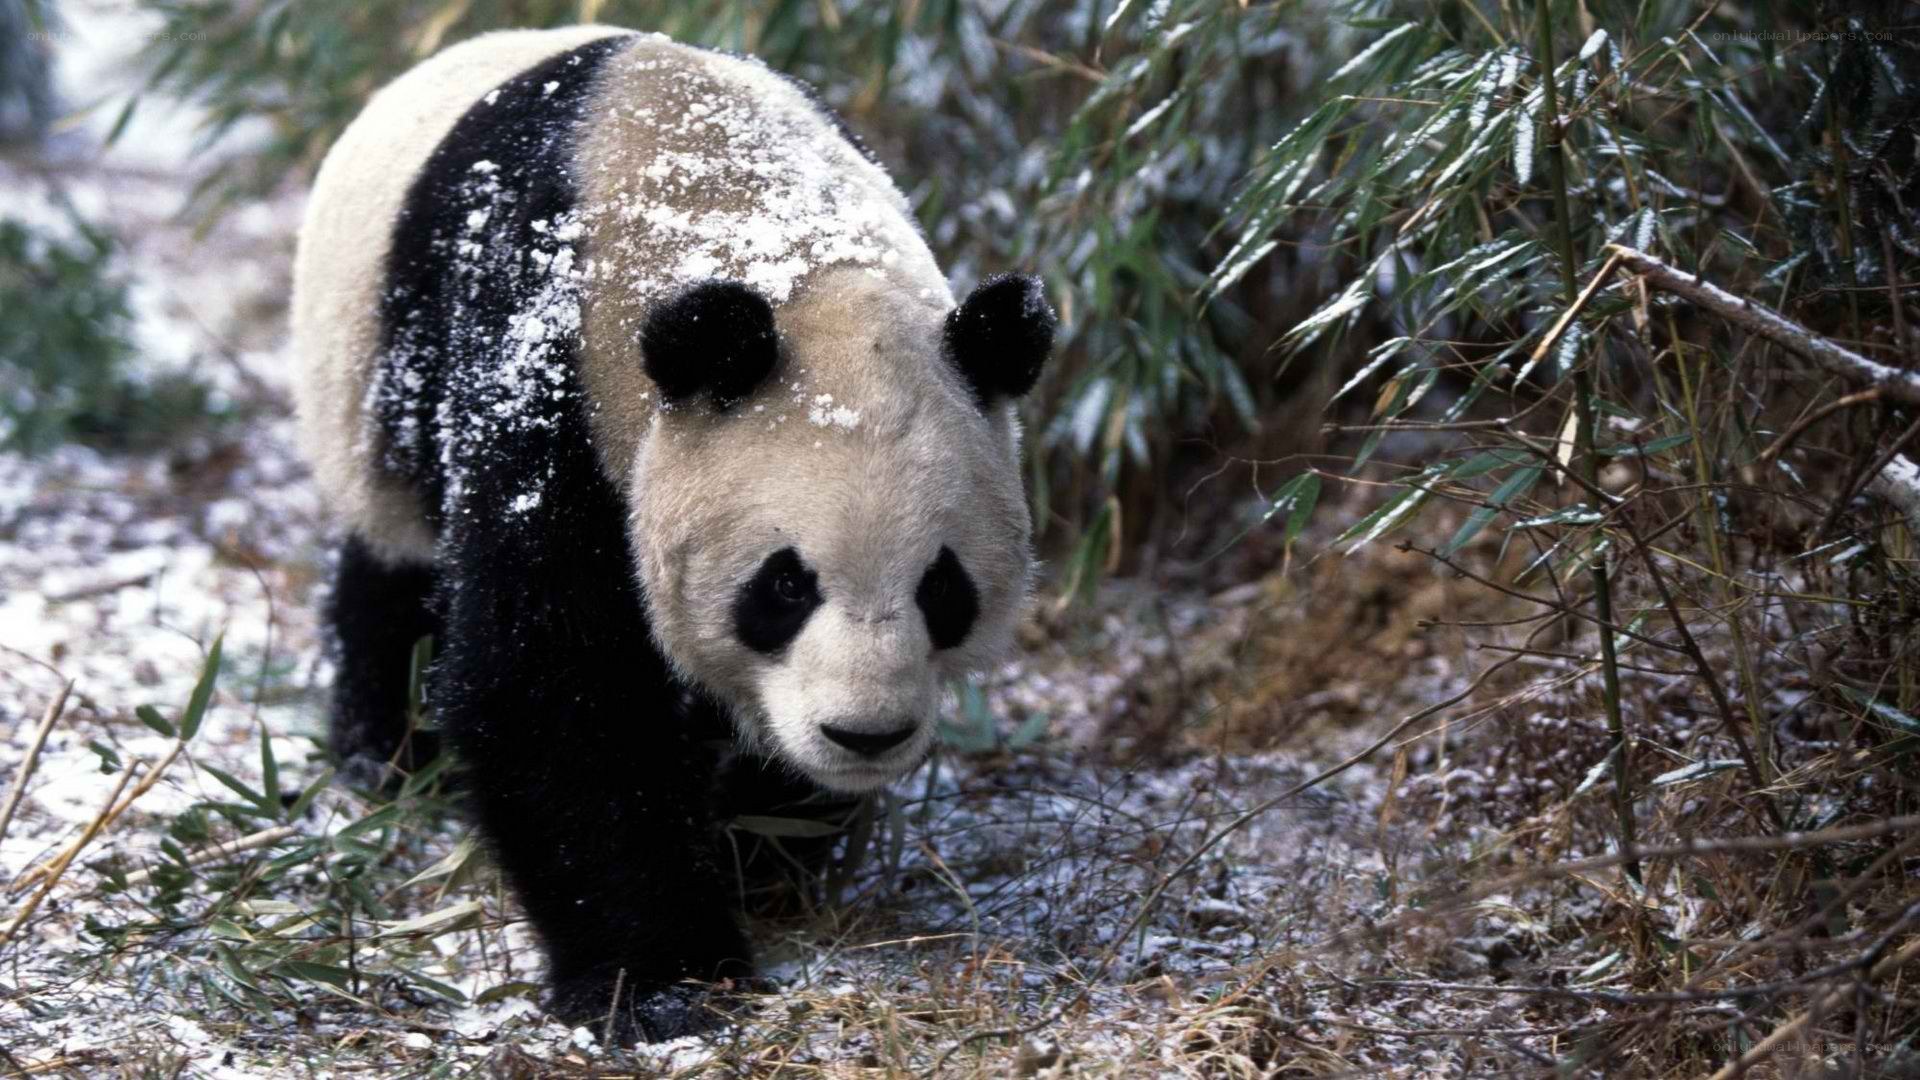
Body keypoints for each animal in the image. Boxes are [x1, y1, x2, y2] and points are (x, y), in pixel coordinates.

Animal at [290, 27, 1053, 1042]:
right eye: (784, 586)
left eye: (943, 587)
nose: (865, 733)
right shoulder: (543, 373)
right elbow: (553, 684)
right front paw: (661, 979)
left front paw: (760, 852)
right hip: (372, 392)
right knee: (396, 568)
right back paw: (389, 751)